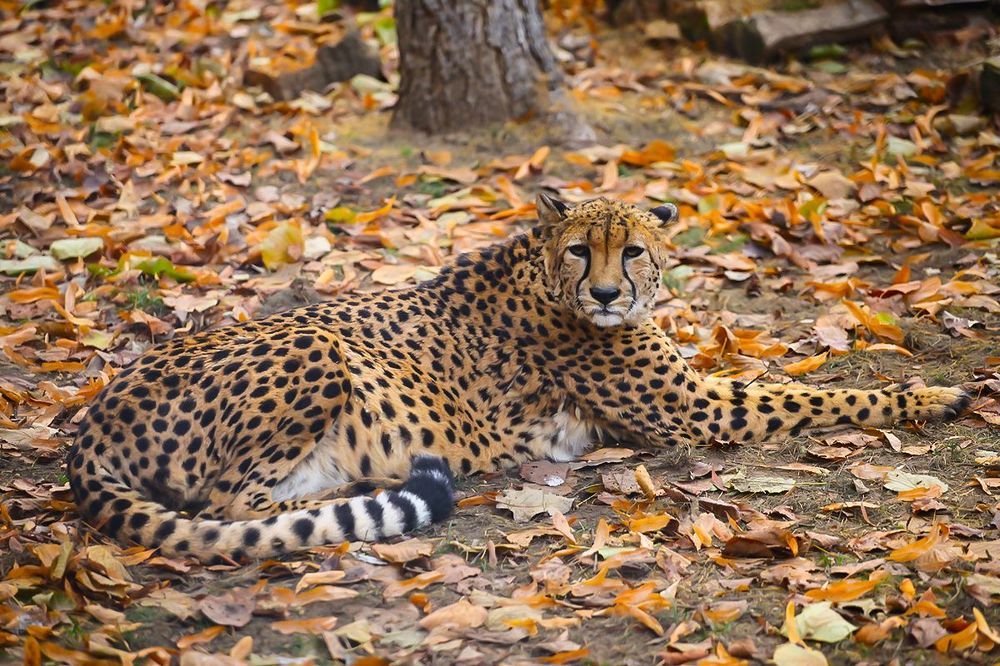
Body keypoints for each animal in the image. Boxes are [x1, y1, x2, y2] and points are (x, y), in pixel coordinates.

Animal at [67, 196, 970, 563]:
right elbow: (815, 392)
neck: (542, 275)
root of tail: (93, 417)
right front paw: (929, 394)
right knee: (228, 506)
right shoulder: (702, 411)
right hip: (314, 346)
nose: (605, 294)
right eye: (580, 250)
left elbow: (790, 377)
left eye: (630, 251)